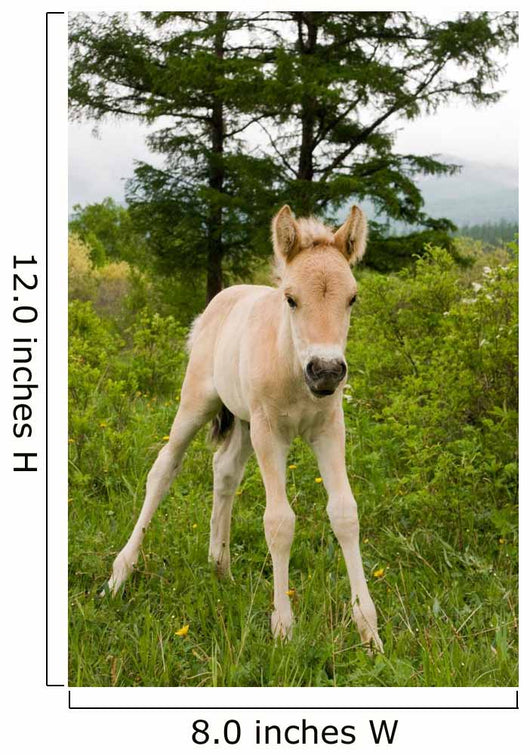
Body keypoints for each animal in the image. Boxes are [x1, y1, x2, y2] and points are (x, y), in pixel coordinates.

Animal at [106, 204, 383, 652]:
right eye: (291, 298)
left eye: (352, 298)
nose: (326, 371)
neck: (291, 367)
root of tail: (221, 299)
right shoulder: (270, 433)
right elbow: (279, 521)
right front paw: (284, 628)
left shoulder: (328, 429)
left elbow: (345, 513)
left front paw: (369, 632)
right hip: (198, 402)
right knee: (164, 468)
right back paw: (120, 574)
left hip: (243, 421)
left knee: (225, 471)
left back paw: (220, 568)